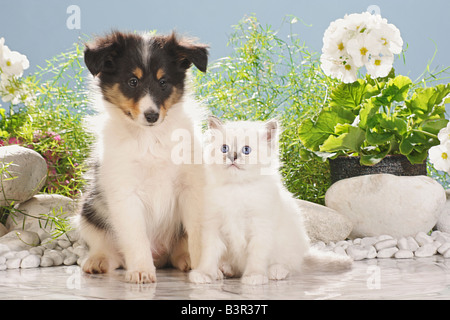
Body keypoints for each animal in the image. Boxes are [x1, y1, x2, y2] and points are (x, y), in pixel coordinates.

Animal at [78, 31, 208, 284]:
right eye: (132, 81)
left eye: (163, 82)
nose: (152, 116)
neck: (150, 138)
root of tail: (160, 255)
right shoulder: (123, 192)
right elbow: (135, 236)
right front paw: (140, 271)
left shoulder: (191, 188)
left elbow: (198, 233)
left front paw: (203, 270)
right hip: (89, 210)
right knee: (107, 247)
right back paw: (98, 261)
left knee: (179, 248)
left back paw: (185, 259)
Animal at [190, 117, 352, 284]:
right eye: (224, 148)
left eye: (246, 150)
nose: (232, 156)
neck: (237, 187)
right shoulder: (213, 225)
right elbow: (209, 254)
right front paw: (204, 274)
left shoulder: (261, 226)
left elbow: (257, 255)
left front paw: (254, 276)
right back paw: (223, 270)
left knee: (289, 266)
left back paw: (275, 271)